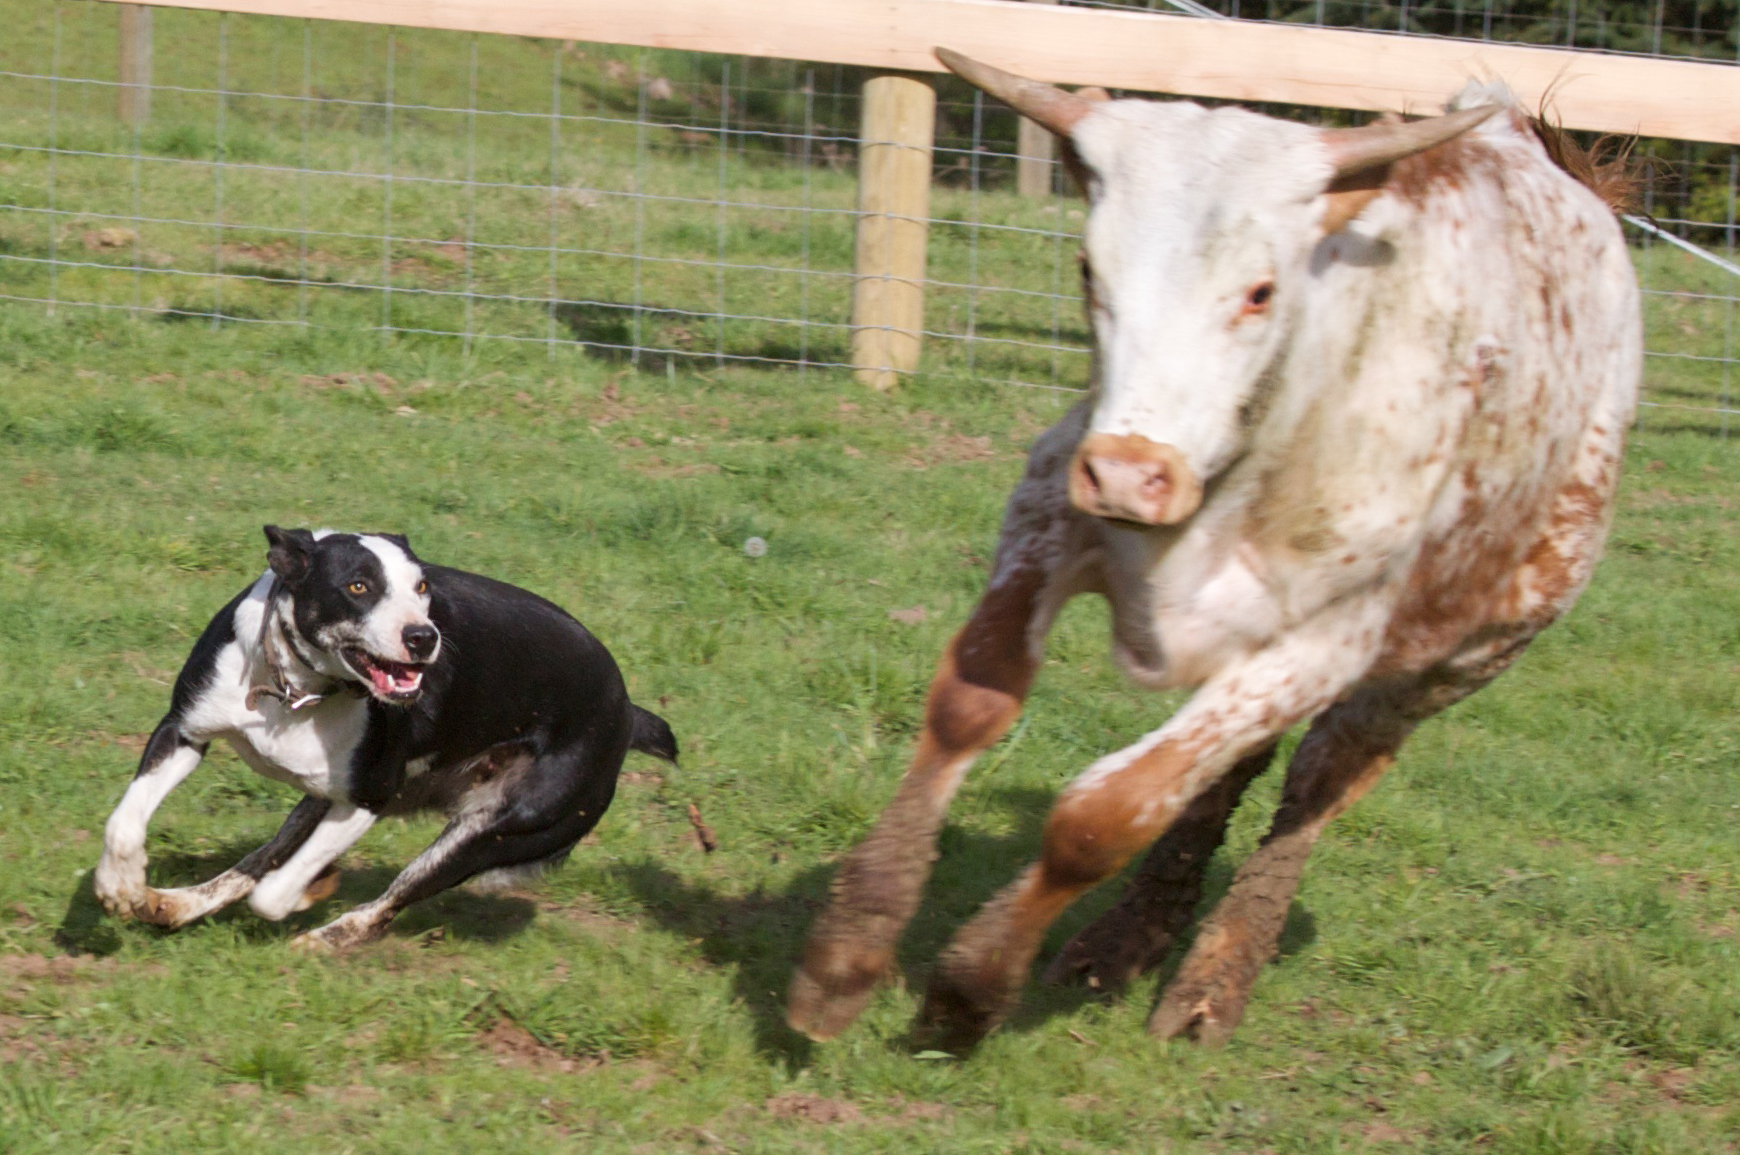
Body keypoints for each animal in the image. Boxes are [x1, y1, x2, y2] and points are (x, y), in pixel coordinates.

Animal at [91, 528, 678, 953]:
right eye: (357, 586)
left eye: (422, 589)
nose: (424, 638)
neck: (299, 691)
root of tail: (627, 712)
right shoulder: (184, 730)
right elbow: (123, 822)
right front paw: (118, 887)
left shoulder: (368, 797)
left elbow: (274, 895)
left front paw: (313, 891)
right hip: (323, 797)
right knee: (261, 858)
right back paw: (176, 903)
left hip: (499, 830)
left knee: (387, 901)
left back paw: (327, 937)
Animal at [796, 49, 1635, 1050]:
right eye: (1090, 267)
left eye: (1259, 291)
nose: (1130, 475)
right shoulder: (1046, 510)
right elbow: (971, 704)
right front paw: (848, 950)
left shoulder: (1331, 637)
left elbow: (1106, 812)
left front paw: (971, 986)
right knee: (1223, 773)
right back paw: (1128, 936)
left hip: (1461, 656)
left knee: (1320, 778)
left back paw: (1213, 977)